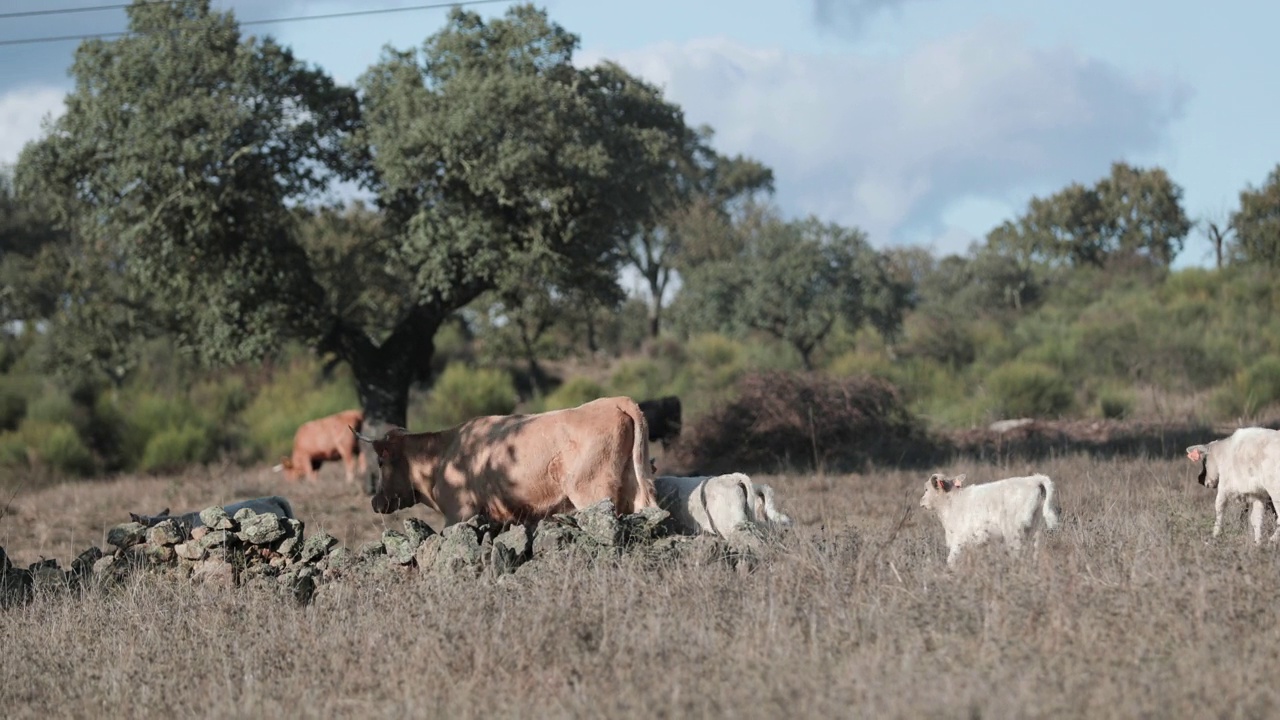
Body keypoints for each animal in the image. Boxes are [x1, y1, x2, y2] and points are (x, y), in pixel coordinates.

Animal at [353, 394, 660, 525]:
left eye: (380, 462)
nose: (375, 501)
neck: (442, 456)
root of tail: (615, 400)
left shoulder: (459, 514)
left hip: (592, 491)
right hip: (635, 490)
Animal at [921, 471, 1059, 566]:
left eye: (926, 489)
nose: (921, 502)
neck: (952, 502)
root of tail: (1034, 480)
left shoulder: (959, 539)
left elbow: (951, 560)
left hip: (1014, 532)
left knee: (1017, 552)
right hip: (1035, 528)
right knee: (1035, 550)